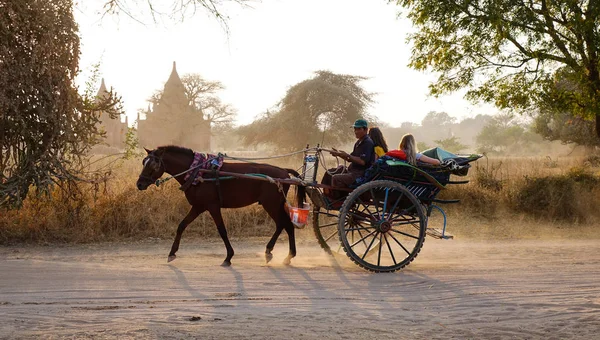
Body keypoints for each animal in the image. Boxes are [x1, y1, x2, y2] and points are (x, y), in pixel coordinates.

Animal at [136, 145, 304, 266]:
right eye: (144, 162)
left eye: (153, 164)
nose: (139, 184)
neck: (198, 171)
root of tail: (283, 172)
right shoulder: (198, 207)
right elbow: (181, 225)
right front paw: (172, 253)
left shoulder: (213, 206)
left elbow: (222, 230)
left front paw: (228, 257)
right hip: (274, 204)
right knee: (285, 225)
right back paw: (283, 255)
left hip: (272, 204)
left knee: (284, 224)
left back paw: (279, 253)